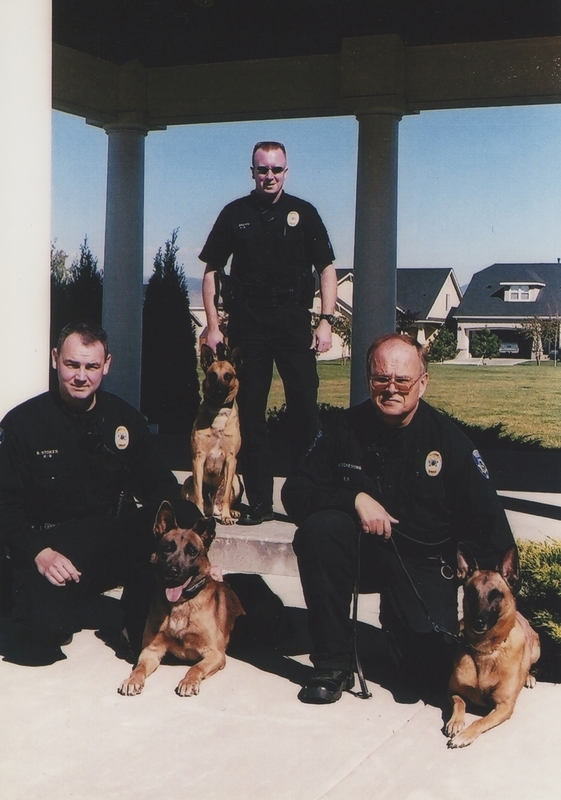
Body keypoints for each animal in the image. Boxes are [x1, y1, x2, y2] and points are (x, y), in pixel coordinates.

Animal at [119, 504, 244, 696]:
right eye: (167, 548)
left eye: (192, 552)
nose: (173, 572)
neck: (182, 603)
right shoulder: (150, 651)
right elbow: (139, 668)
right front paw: (132, 680)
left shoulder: (215, 654)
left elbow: (195, 668)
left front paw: (188, 682)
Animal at [183, 342, 244, 524]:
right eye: (212, 376)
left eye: (228, 376)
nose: (219, 392)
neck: (218, 411)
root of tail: (212, 509)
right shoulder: (198, 458)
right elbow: (198, 494)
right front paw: (197, 512)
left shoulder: (231, 460)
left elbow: (225, 495)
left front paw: (226, 516)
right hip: (187, 483)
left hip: (237, 479)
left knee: (225, 498)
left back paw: (230, 512)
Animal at [444, 548, 540, 748]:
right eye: (471, 593)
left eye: (496, 594)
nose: (478, 622)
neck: (485, 650)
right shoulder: (453, 691)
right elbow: (459, 703)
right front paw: (455, 721)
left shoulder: (504, 706)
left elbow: (480, 721)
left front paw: (464, 735)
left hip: (536, 649)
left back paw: (528, 676)